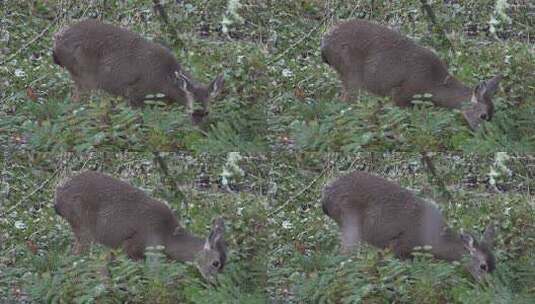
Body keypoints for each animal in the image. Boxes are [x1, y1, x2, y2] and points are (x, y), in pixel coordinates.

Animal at [52, 18, 224, 121]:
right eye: (192, 111)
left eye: (207, 112)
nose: (201, 132)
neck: (165, 82)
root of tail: (56, 46)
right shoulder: (134, 93)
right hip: (84, 76)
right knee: (75, 103)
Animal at [54, 170, 228, 282]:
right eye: (216, 263)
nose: (216, 283)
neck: (167, 237)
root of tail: (58, 199)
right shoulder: (135, 246)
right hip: (84, 228)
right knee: (75, 258)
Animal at [320, 171, 496, 280]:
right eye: (483, 266)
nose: (488, 286)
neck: (433, 239)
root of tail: (326, 197)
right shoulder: (397, 246)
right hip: (350, 223)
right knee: (344, 256)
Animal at [322, 19, 502, 129]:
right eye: (483, 115)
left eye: (493, 114)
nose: (485, 135)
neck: (434, 85)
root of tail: (325, 45)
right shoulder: (399, 95)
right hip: (352, 75)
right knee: (344, 104)